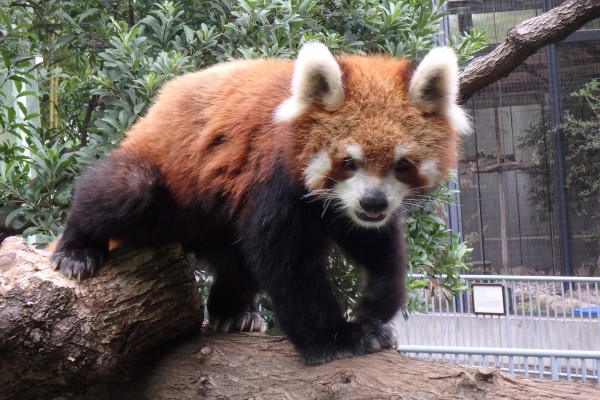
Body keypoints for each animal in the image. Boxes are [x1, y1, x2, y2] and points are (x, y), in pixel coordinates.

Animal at [51, 42, 468, 364]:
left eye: (402, 165)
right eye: (348, 162)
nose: (374, 202)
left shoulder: (348, 208)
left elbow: (376, 242)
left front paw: (378, 302)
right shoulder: (274, 178)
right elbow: (284, 261)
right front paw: (336, 340)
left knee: (238, 261)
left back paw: (233, 310)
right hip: (161, 179)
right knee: (119, 191)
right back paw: (75, 250)